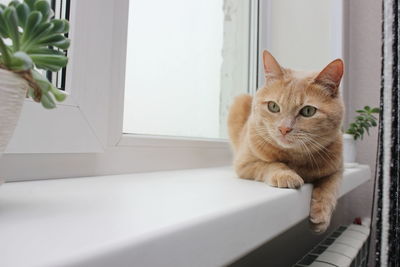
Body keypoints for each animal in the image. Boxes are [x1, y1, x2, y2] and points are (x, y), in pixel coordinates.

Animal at [228, 51, 344, 233]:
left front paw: (321, 215)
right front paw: (286, 175)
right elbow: (271, 164)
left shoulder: (336, 170)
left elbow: (329, 188)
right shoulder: (245, 164)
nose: (284, 129)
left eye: (308, 111)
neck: (296, 158)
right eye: (273, 106)